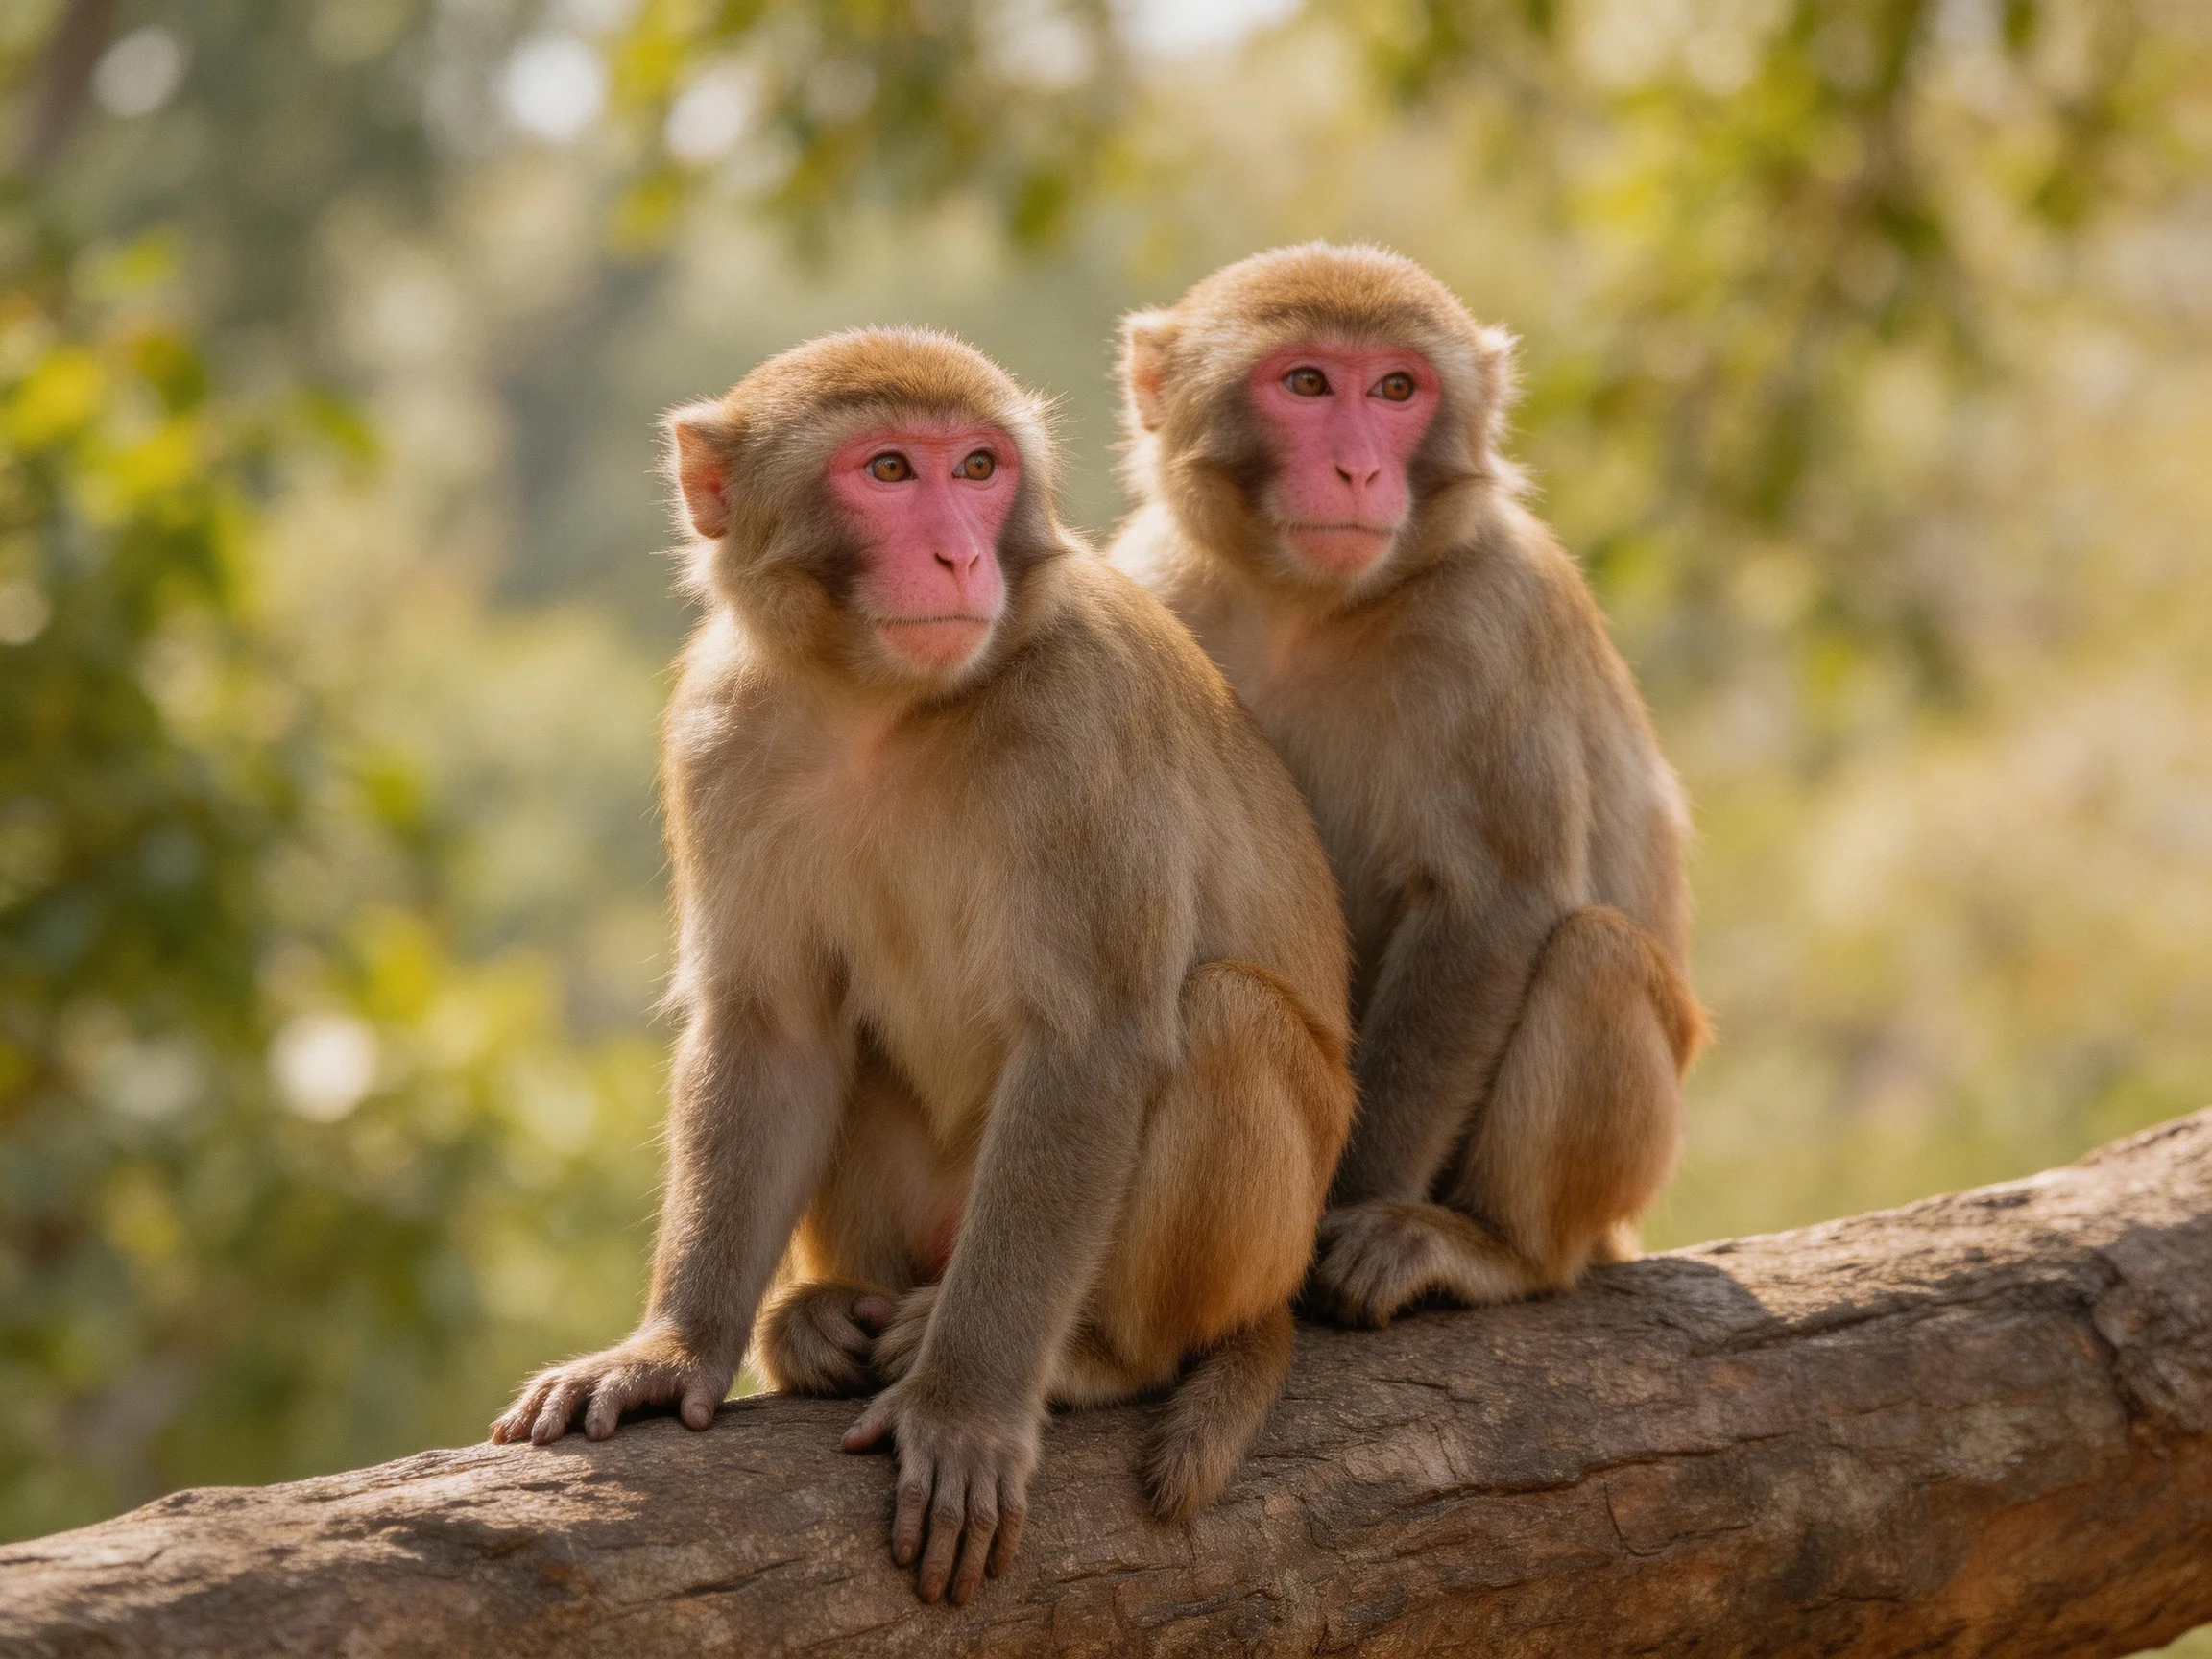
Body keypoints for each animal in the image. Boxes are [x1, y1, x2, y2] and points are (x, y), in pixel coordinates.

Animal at [489, 328, 1355, 1608]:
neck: (880, 710)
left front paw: (963, 1409)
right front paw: (669, 1350)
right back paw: (819, 1322)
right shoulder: (719, 728)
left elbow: (1089, 1043)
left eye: (980, 467)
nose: (957, 551)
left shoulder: (1083, 724)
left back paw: (1092, 1355)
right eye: (891, 470)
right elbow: (775, 1032)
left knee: (1224, 1015)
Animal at [1107, 243, 1706, 1332]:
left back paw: (1494, 1248)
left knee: (1591, 954)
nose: (1358, 468)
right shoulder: (1150, 590)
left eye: (1396, 389)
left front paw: (1342, 1221)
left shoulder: (1489, 619)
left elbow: (1488, 905)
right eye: (1307, 383)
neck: (1302, 607)